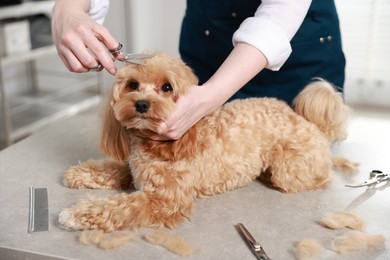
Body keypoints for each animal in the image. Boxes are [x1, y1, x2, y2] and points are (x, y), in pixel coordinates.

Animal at [57, 51, 356, 231]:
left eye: (167, 87)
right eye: (132, 85)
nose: (141, 104)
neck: (158, 144)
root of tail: (311, 124)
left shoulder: (165, 199)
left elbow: (119, 208)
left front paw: (76, 214)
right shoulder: (135, 170)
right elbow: (113, 169)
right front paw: (81, 173)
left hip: (291, 170)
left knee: (319, 178)